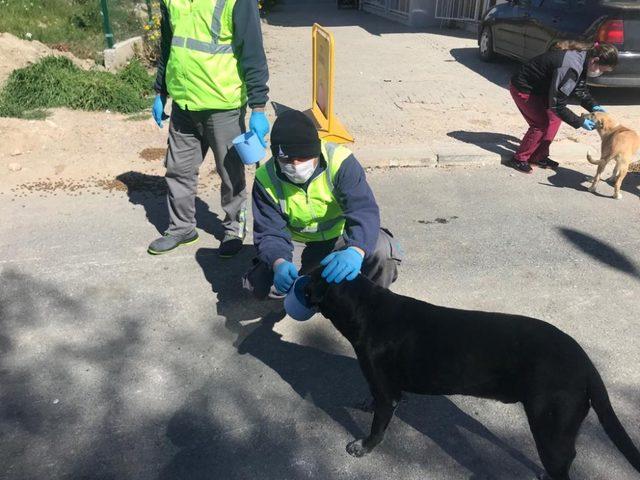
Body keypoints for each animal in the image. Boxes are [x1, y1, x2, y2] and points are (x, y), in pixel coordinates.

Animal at [304, 272, 640, 478]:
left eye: (311, 273)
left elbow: (377, 427)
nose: (297, 279)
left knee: (564, 461)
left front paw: (362, 446)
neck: (367, 308)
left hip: (551, 428)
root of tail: (586, 364)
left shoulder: (388, 394)